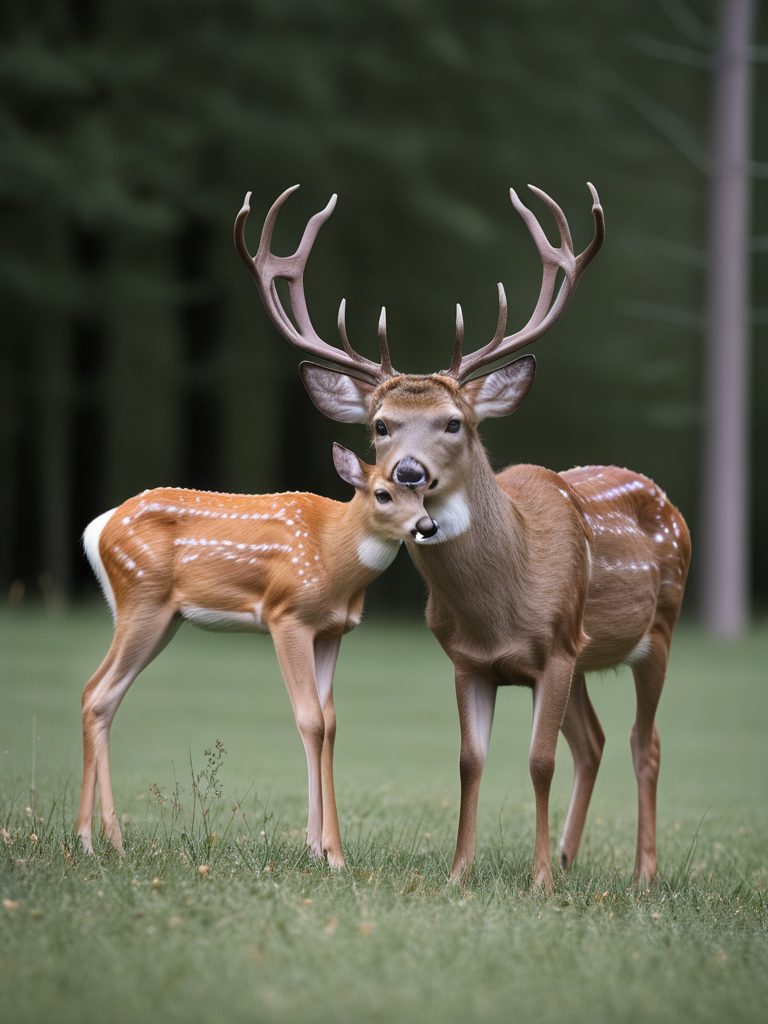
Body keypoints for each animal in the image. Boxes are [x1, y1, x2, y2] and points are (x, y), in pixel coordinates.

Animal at [77, 443, 437, 865]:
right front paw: (326, 853)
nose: (427, 525)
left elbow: (330, 723)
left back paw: (111, 841)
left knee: (102, 697)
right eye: (383, 494)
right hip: (141, 599)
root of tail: (97, 529)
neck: (333, 552)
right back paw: (87, 841)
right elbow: (310, 719)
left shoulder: (331, 631)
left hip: (162, 618)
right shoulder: (288, 616)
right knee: (95, 691)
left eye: (424, 492)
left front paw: (322, 849)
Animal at [235, 183, 692, 890]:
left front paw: (538, 882)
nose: (408, 472)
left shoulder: (557, 648)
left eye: (455, 422)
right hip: (589, 655)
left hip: (659, 630)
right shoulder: (468, 658)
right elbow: (469, 760)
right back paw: (571, 856)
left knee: (647, 742)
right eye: (380, 425)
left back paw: (641, 873)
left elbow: (537, 761)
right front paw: (460, 873)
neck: (500, 602)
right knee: (594, 742)